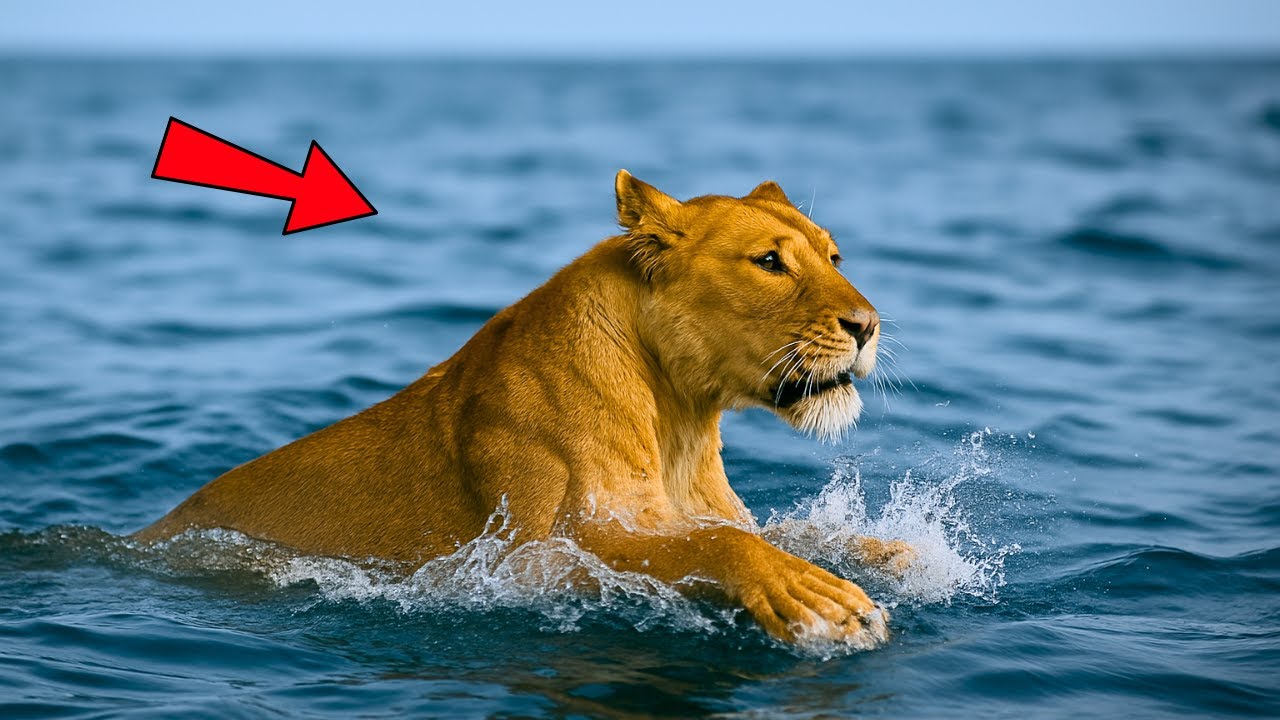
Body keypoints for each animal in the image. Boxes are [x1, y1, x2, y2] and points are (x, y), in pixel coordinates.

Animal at [135, 171, 911, 645]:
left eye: (834, 256)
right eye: (770, 262)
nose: (868, 325)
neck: (679, 417)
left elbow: (793, 531)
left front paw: (900, 553)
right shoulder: (529, 562)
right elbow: (715, 545)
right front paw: (821, 602)